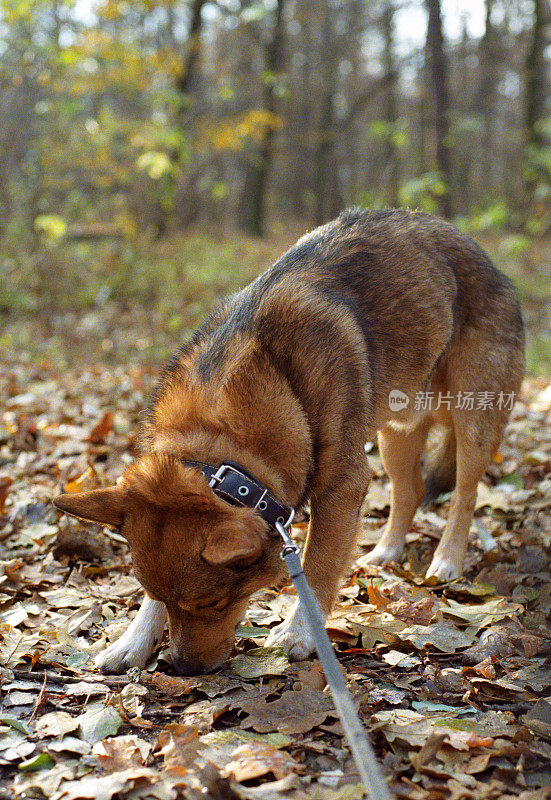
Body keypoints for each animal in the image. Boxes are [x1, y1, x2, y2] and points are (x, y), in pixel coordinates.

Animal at [52, 209, 528, 672]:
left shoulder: (342, 489)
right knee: (409, 491)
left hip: (473, 422)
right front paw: (132, 642)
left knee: (465, 494)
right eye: (162, 598)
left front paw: (300, 634)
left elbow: (317, 568)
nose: (181, 668)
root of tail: (480, 253)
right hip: (397, 436)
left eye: (213, 602)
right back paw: (386, 552)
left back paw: (447, 559)